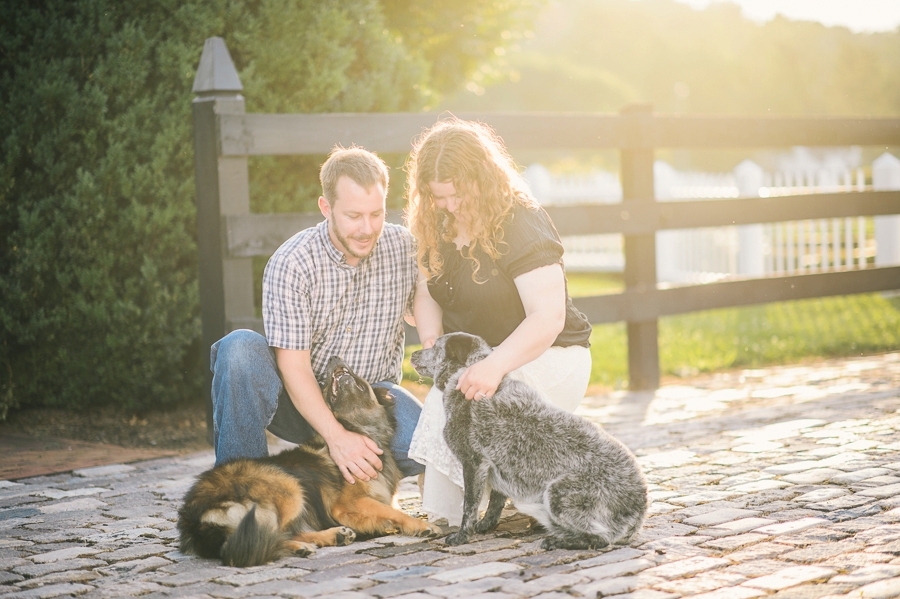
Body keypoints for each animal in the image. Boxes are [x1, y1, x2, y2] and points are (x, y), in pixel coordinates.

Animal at [177, 356, 440, 568]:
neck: (358, 428)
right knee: (257, 541)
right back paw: (301, 546)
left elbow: (392, 509)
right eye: (322, 385)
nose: (334, 358)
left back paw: (331, 537)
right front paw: (420, 525)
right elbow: (391, 511)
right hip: (288, 487)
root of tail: (192, 515)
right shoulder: (347, 504)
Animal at [408, 330, 648, 552]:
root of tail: (640, 506)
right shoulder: (498, 467)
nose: (412, 354)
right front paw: (486, 525)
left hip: (557, 493)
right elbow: (495, 502)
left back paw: (556, 540)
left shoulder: (473, 463)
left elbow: (469, 506)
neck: (466, 372)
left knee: (601, 538)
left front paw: (462, 536)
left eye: (435, 346)